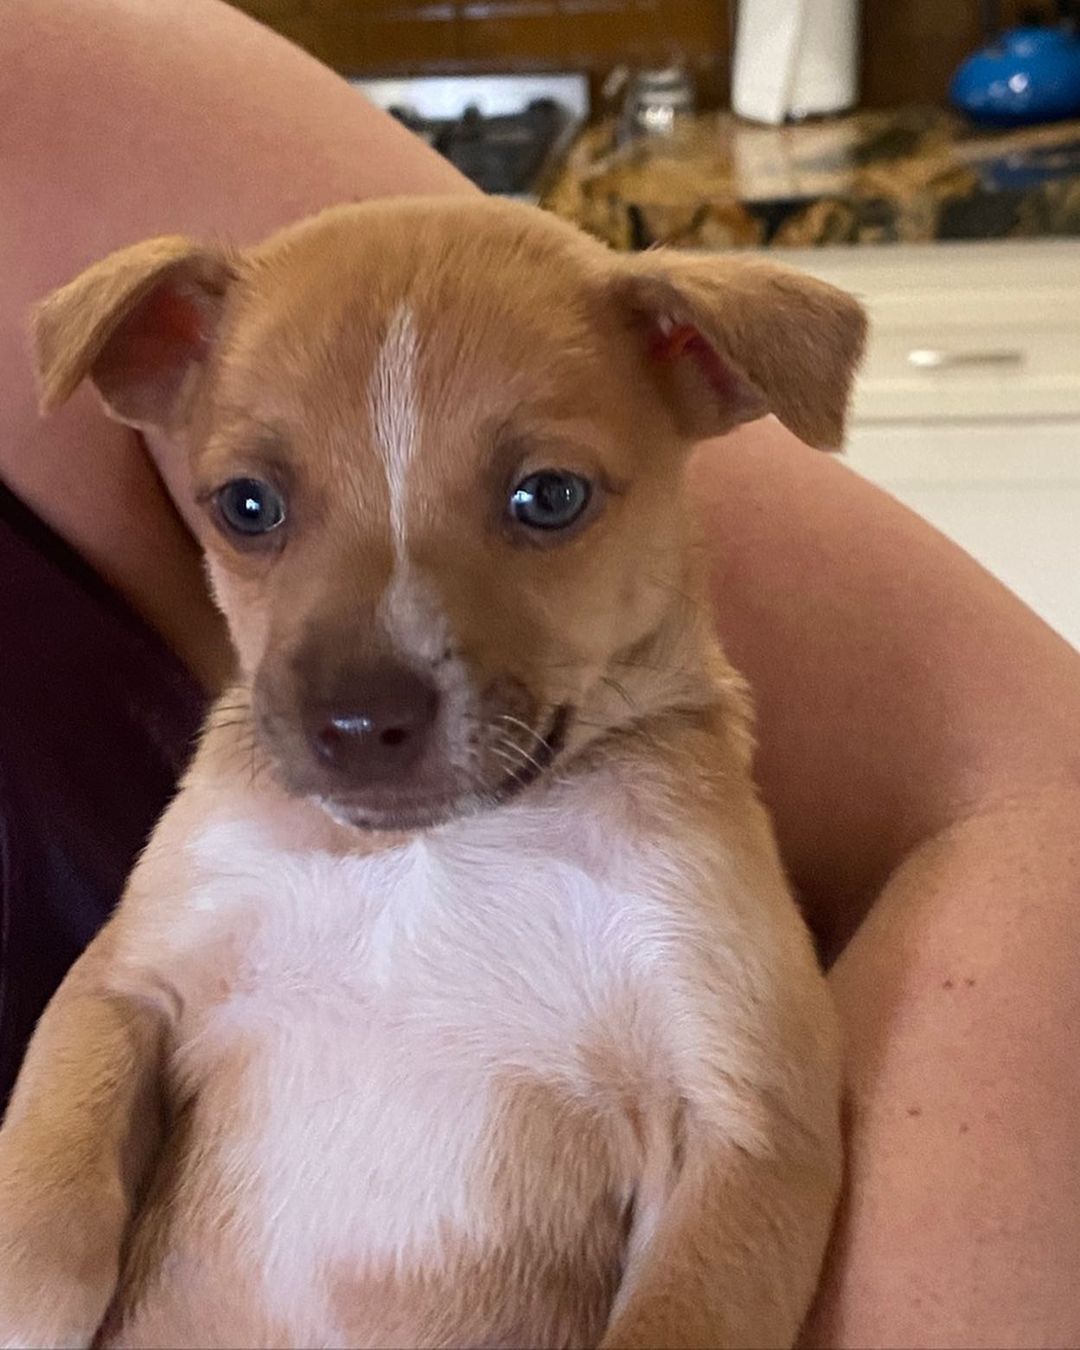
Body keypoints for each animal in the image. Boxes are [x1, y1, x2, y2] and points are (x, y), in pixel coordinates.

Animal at [0, 199, 864, 1350]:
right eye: (245, 505)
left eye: (549, 497)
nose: (360, 724)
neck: (440, 847)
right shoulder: (124, 984)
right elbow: (45, 1200)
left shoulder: (745, 1122)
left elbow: (675, 1320)